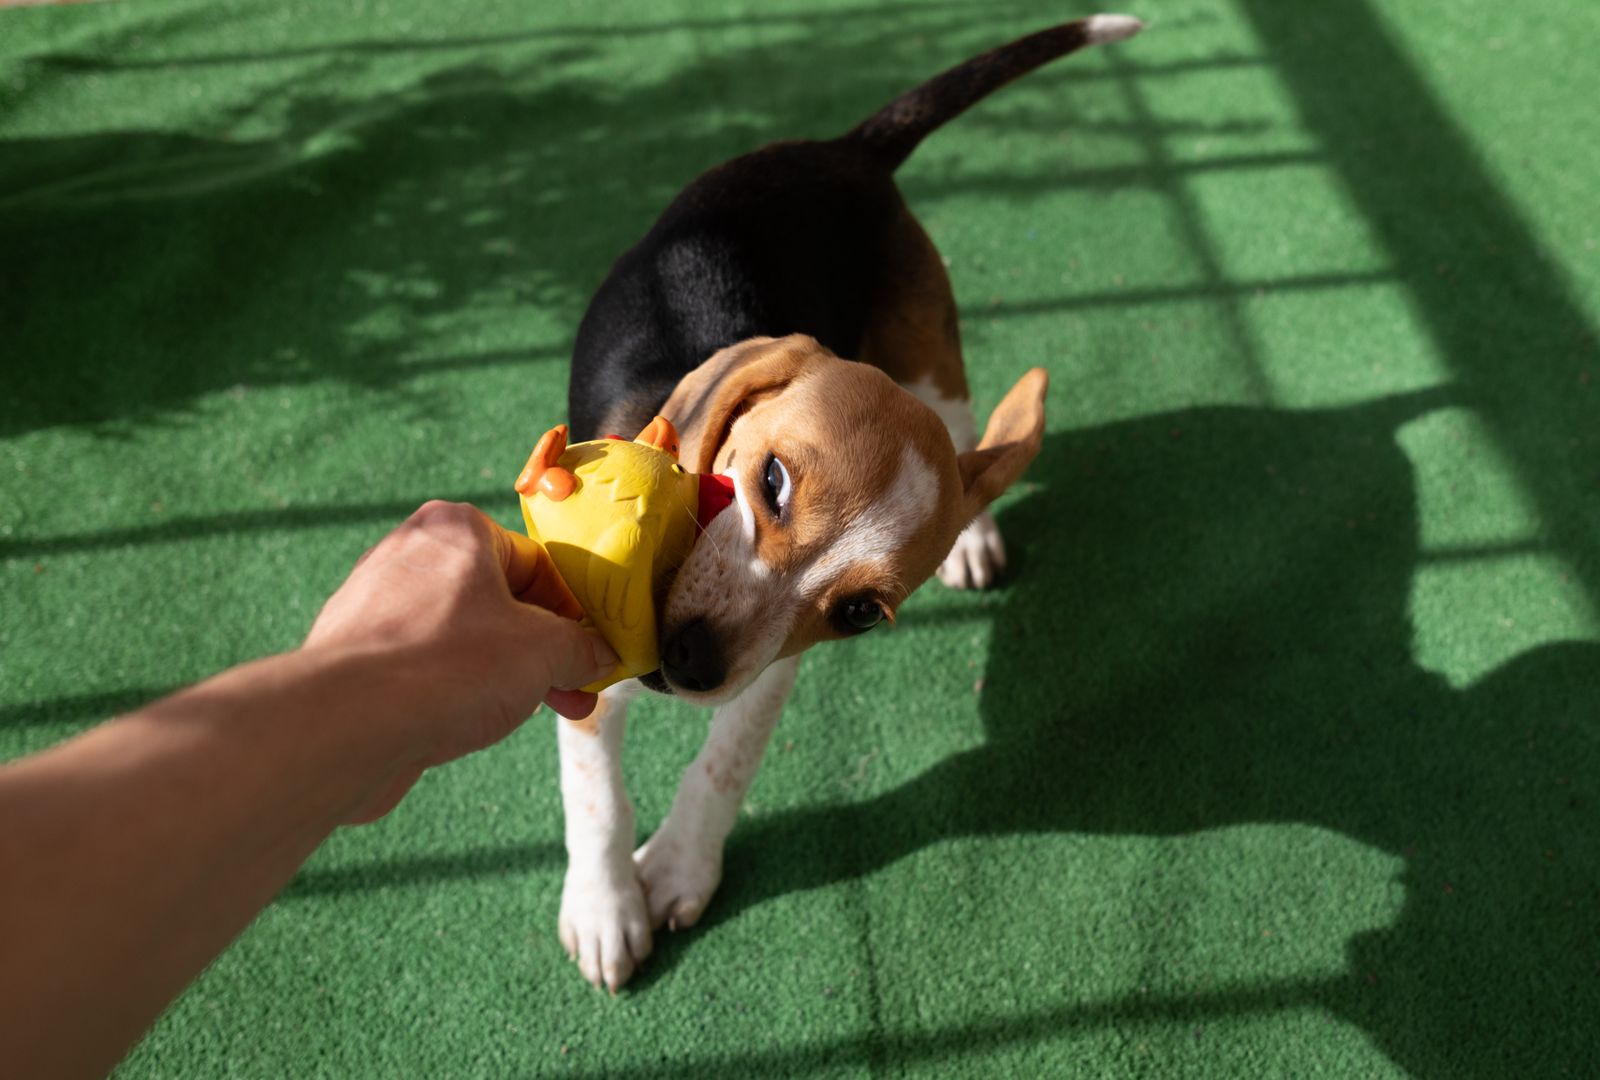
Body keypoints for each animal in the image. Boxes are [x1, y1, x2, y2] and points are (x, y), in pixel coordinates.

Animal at [547, 12, 1139, 992]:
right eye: (771, 481)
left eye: (859, 612)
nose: (692, 660)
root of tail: (844, 152)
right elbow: (597, 800)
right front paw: (605, 911)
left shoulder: (768, 669)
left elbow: (724, 765)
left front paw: (678, 868)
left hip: (931, 363)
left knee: (971, 449)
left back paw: (974, 537)